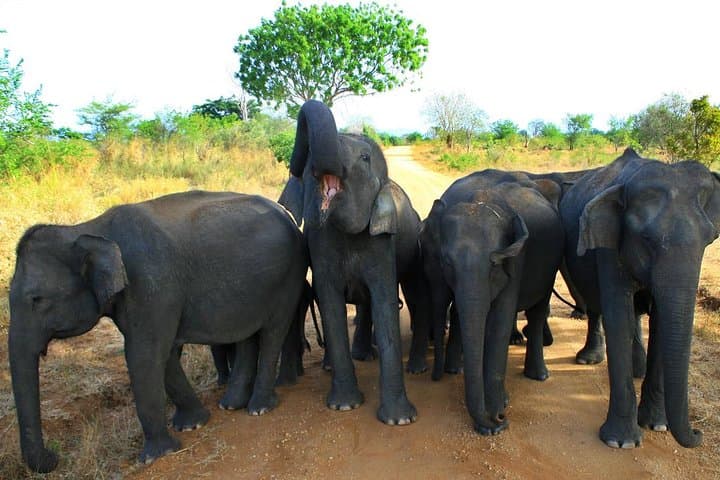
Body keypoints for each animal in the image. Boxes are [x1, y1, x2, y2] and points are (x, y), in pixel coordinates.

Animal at [9, 191, 309, 473]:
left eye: (37, 299)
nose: (54, 457)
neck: (87, 228)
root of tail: (287, 215)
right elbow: (163, 355)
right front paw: (191, 425)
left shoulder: (151, 285)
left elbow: (143, 355)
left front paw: (156, 456)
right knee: (247, 335)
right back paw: (231, 405)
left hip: (288, 277)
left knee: (273, 331)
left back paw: (259, 408)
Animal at [278, 99, 428, 425]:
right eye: (307, 164)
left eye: (364, 157)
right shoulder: (320, 244)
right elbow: (329, 302)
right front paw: (343, 406)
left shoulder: (382, 242)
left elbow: (384, 300)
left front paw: (399, 421)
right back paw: (343, 361)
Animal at [423, 178, 565, 435]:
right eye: (447, 263)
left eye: (495, 265)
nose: (501, 418)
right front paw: (492, 420)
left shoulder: (517, 261)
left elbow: (499, 322)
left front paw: (494, 422)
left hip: (551, 268)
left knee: (538, 311)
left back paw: (538, 377)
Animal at [559, 148, 720, 449]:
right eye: (646, 239)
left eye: (710, 239)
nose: (698, 433)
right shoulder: (609, 244)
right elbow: (618, 316)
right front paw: (620, 442)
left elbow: (661, 321)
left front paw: (658, 425)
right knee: (598, 305)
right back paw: (590, 359)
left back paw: (638, 370)